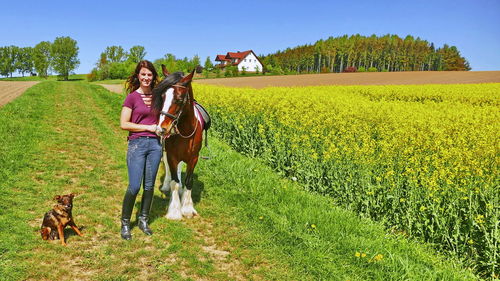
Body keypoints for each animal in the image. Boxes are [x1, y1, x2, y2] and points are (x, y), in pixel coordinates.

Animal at [150, 67, 203, 219]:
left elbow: (188, 181)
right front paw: (174, 210)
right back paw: (166, 185)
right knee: (169, 169)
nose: (161, 129)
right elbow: (175, 182)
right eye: (162, 97)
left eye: (179, 99)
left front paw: (187, 208)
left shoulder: (194, 158)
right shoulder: (171, 155)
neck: (186, 131)